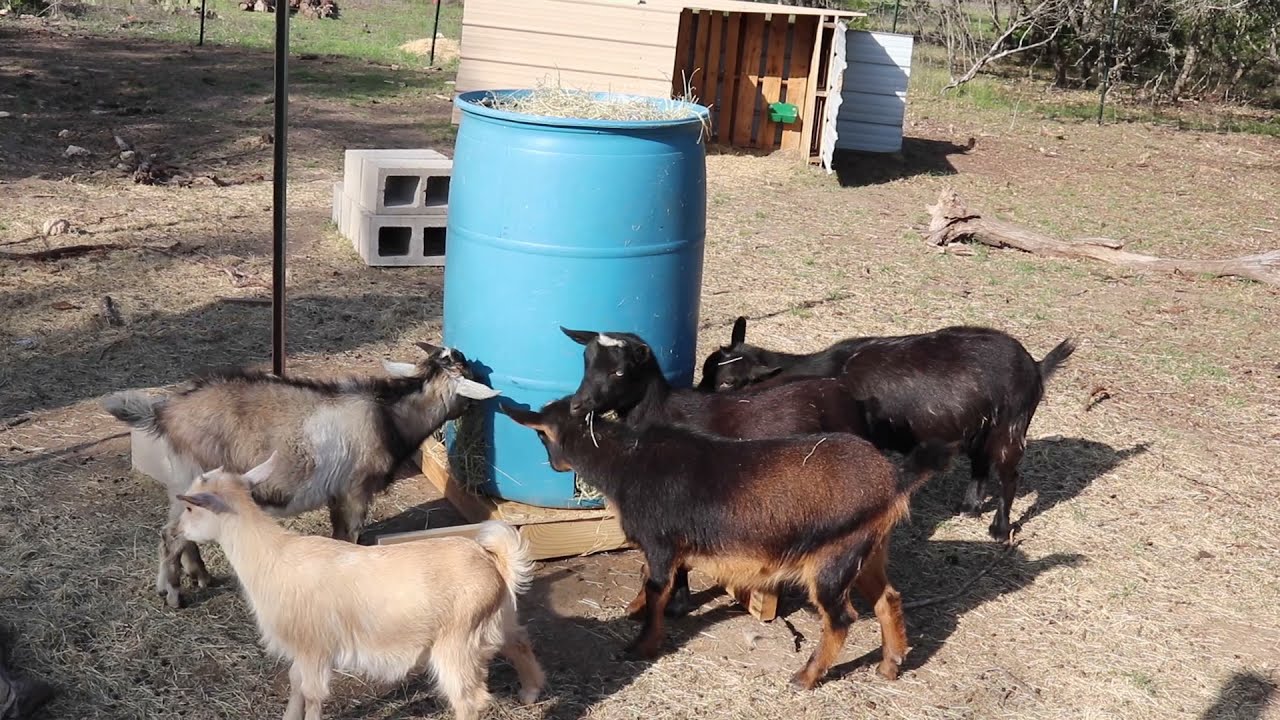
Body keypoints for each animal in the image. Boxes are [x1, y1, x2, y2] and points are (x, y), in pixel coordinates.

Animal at [102, 342, 500, 609]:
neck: (388, 416)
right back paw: (172, 594)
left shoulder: (339, 494)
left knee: (178, 533)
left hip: (183, 483)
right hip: (196, 477)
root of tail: (167, 411)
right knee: (171, 535)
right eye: (469, 373)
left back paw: (197, 577)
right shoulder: (355, 490)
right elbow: (348, 537)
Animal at [175, 453, 545, 720]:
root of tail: (494, 561)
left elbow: (312, 695)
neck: (270, 555)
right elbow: (295, 684)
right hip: (497, 620)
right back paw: (530, 691)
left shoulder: (314, 647)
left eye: (191, 506)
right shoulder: (302, 649)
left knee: (471, 700)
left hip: (457, 642)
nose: (178, 531)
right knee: (520, 641)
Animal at [501, 397, 954, 690]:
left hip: (832, 561)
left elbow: (657, 585)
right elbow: (654, 578)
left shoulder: (661, 541)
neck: (626, 461)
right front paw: (635, 609)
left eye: (541, 437)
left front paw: (642, 644)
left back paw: (806, 677)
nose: (555, 464)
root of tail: (893, 479)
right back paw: (891, 665)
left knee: (841, 618)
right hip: (868, 550)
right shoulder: (670, 545)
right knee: (888, 599)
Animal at [696, 319, 1078, 541]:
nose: (696, 398)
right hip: (979, 428)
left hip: (1010, 426)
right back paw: (969, 507)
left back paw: (999, 530)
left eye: (728, 382)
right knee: (980, 465)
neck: (828, 370)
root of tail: (1036, 366)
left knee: (1009, 476)